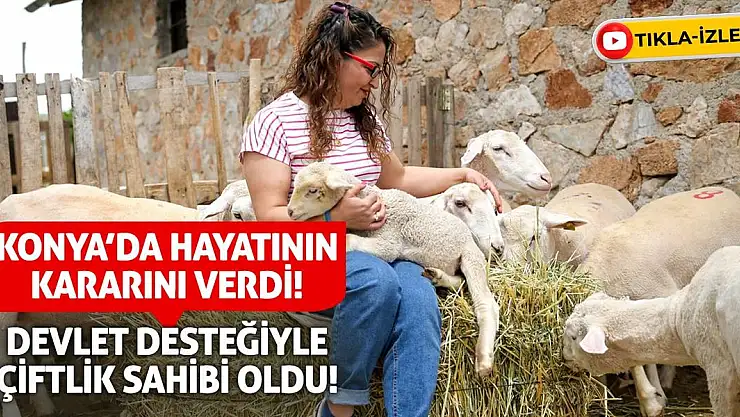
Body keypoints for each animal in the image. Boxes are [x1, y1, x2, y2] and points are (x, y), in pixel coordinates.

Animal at [285, 161, 500, 377]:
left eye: (313, 190)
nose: (289, 212)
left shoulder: (388, 241)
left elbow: (354, 241)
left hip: (471, 256)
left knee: (486, 303)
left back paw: (484, 360)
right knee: (459, 280)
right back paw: (438, 276)